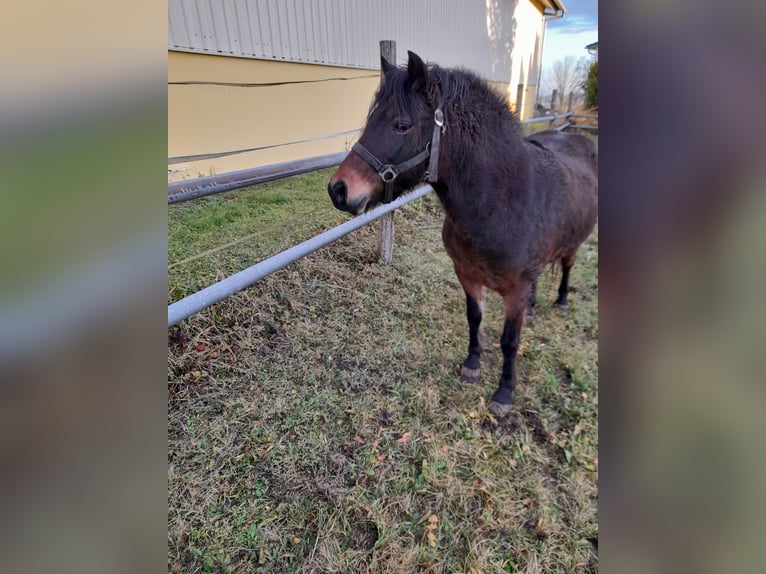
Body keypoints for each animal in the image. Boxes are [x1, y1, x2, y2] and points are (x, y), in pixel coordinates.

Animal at [327, 51, 597, 416]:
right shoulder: (467, 275)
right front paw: (472, 365)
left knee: (567, 267)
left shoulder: (514, 291)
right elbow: (474, 318)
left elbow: (510, 341)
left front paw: (504, 393)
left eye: (401, 125)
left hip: (572, 245)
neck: (500, 205)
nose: (339, 189)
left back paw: (562, 301)